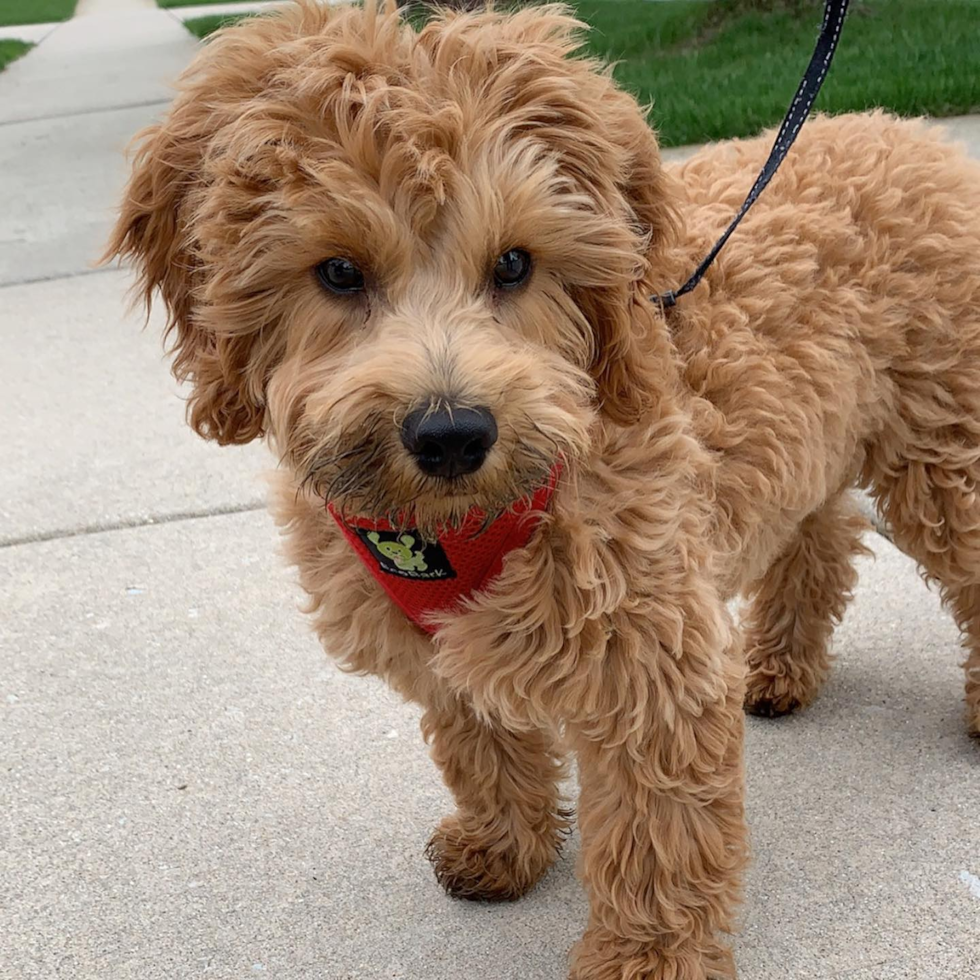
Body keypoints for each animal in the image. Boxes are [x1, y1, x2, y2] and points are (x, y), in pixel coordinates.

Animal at [103, 3, 980, 976]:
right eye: (338, 271)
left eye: (516, 264)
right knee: (819, 532)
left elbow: (656, 838)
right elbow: (480, 744)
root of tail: (899, 127)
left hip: (940, 447)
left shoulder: (652, 659)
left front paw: (647, 960)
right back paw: (781, 666)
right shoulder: (441, 651)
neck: (459, 526)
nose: (452, 434)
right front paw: (505, 846)